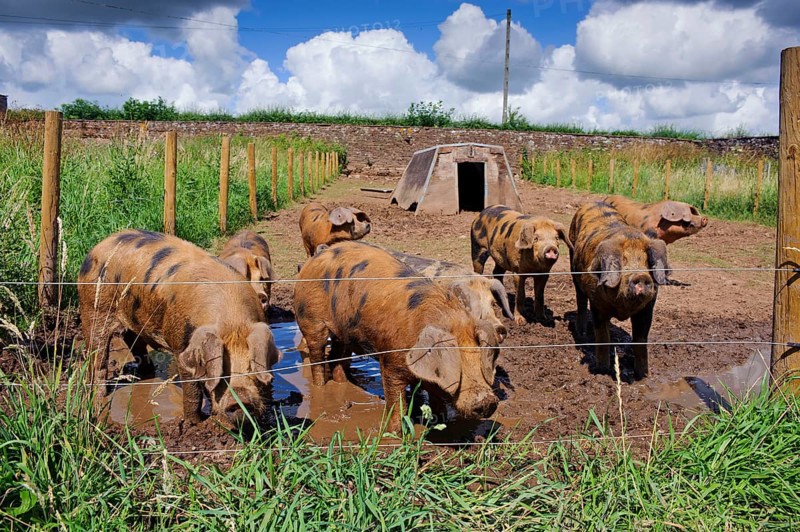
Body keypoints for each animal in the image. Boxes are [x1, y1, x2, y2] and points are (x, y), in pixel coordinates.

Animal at [78, 229, 282, 427]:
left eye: (252, 367)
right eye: (221, 368)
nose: (240, 401)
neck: (232, 322)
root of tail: (97, 247)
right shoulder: (181, 344)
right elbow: (192, 390)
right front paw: (195, 423)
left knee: (134, 341)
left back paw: (146, 372)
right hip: (93, 310)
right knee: (97, 357)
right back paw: (99, 395)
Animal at [293, 241, 499, 433]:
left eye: (478, 357)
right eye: (456, 362)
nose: (487, 401)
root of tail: (317, 256)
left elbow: (435, 399)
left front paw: (438, 424)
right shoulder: (390, 361)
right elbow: (396, 401)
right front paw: (392, 433)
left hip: (343, 333)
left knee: (337, 356)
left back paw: (342, 383)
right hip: (310, 320)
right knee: (317, 357)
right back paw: (320, 387)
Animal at [569, 202, 671, 379]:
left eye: (646, 262)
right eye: (622, 261)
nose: (641, 276)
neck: (623, 308)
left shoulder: (647, 308)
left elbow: (640, 339)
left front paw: (642, 375)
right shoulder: (597, 305)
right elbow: (603, 336)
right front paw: (602, 371)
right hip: (572, 265)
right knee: (580, 300)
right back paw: (582, 333)